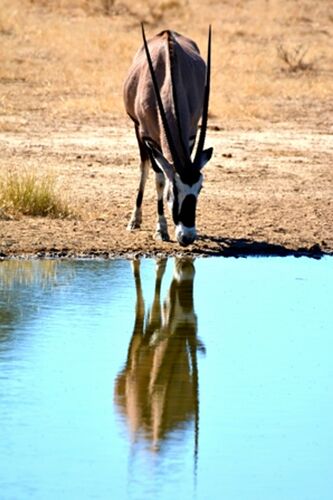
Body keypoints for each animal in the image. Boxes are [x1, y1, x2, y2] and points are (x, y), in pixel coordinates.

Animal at [123, 25, 211, 248]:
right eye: (174, 191)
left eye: (200, 188)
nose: (187, 237)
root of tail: (167, 33)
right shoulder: (147, 135)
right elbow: (159, 178)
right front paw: (161, 229)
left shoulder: (190, 135)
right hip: (136, 129)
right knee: (144, 166)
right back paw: (135, 219)